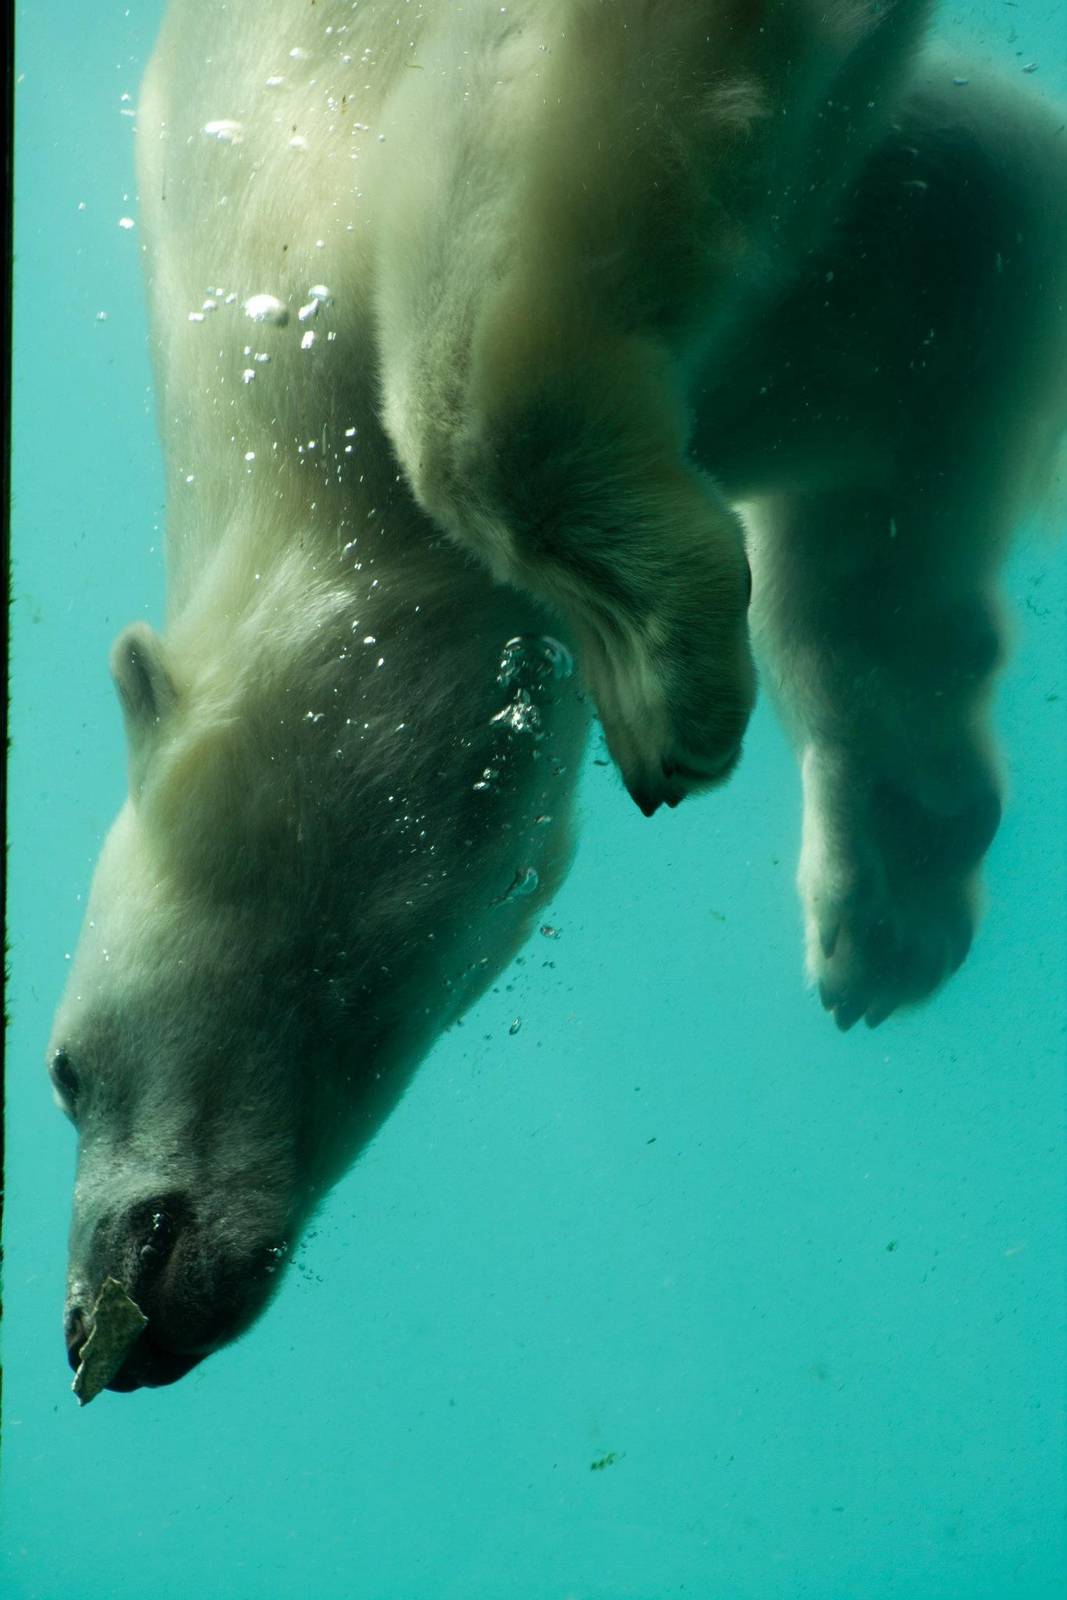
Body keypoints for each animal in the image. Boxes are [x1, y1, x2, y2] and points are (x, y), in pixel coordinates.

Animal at [48, 0, 1066, 1395]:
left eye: (62, 1070)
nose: (92, 1325)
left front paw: (666, 674)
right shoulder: (822, 279)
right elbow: (965, 259)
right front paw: (894, 884)